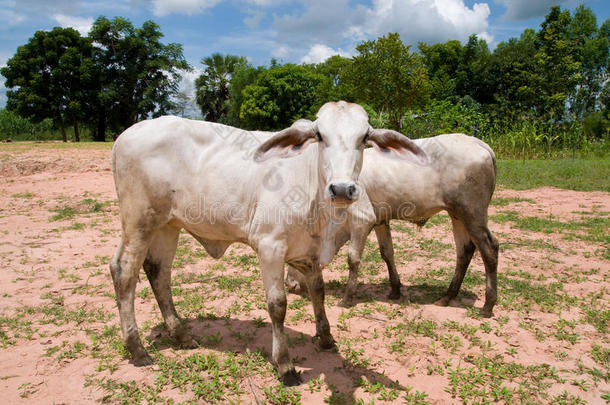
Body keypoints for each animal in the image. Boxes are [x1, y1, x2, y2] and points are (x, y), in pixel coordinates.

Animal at [109, 100, 426, 382]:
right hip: (139, 221)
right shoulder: (269, 247)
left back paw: (182, 335)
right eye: (320, 136)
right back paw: (137, 348)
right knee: (123, 271)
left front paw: (325, 337)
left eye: (363, 138)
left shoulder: (308, 252)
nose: (341, 189)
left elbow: (318, 291)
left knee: (158, 272)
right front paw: (285, 365)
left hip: (167, 225)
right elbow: (278, 305)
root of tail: (125, 135)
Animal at [286, 134, 498, 318]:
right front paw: (395, 290)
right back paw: (447, 296)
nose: (289, 284)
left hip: (472, 214)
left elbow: (353, 258)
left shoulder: (363, 220)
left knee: (489, 249)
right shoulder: (380, 220)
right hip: (457, 215)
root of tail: (478, 142)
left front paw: (347, 298)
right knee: (464, 251)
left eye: (297, 260)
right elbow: (387, 253)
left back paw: (488, 305)